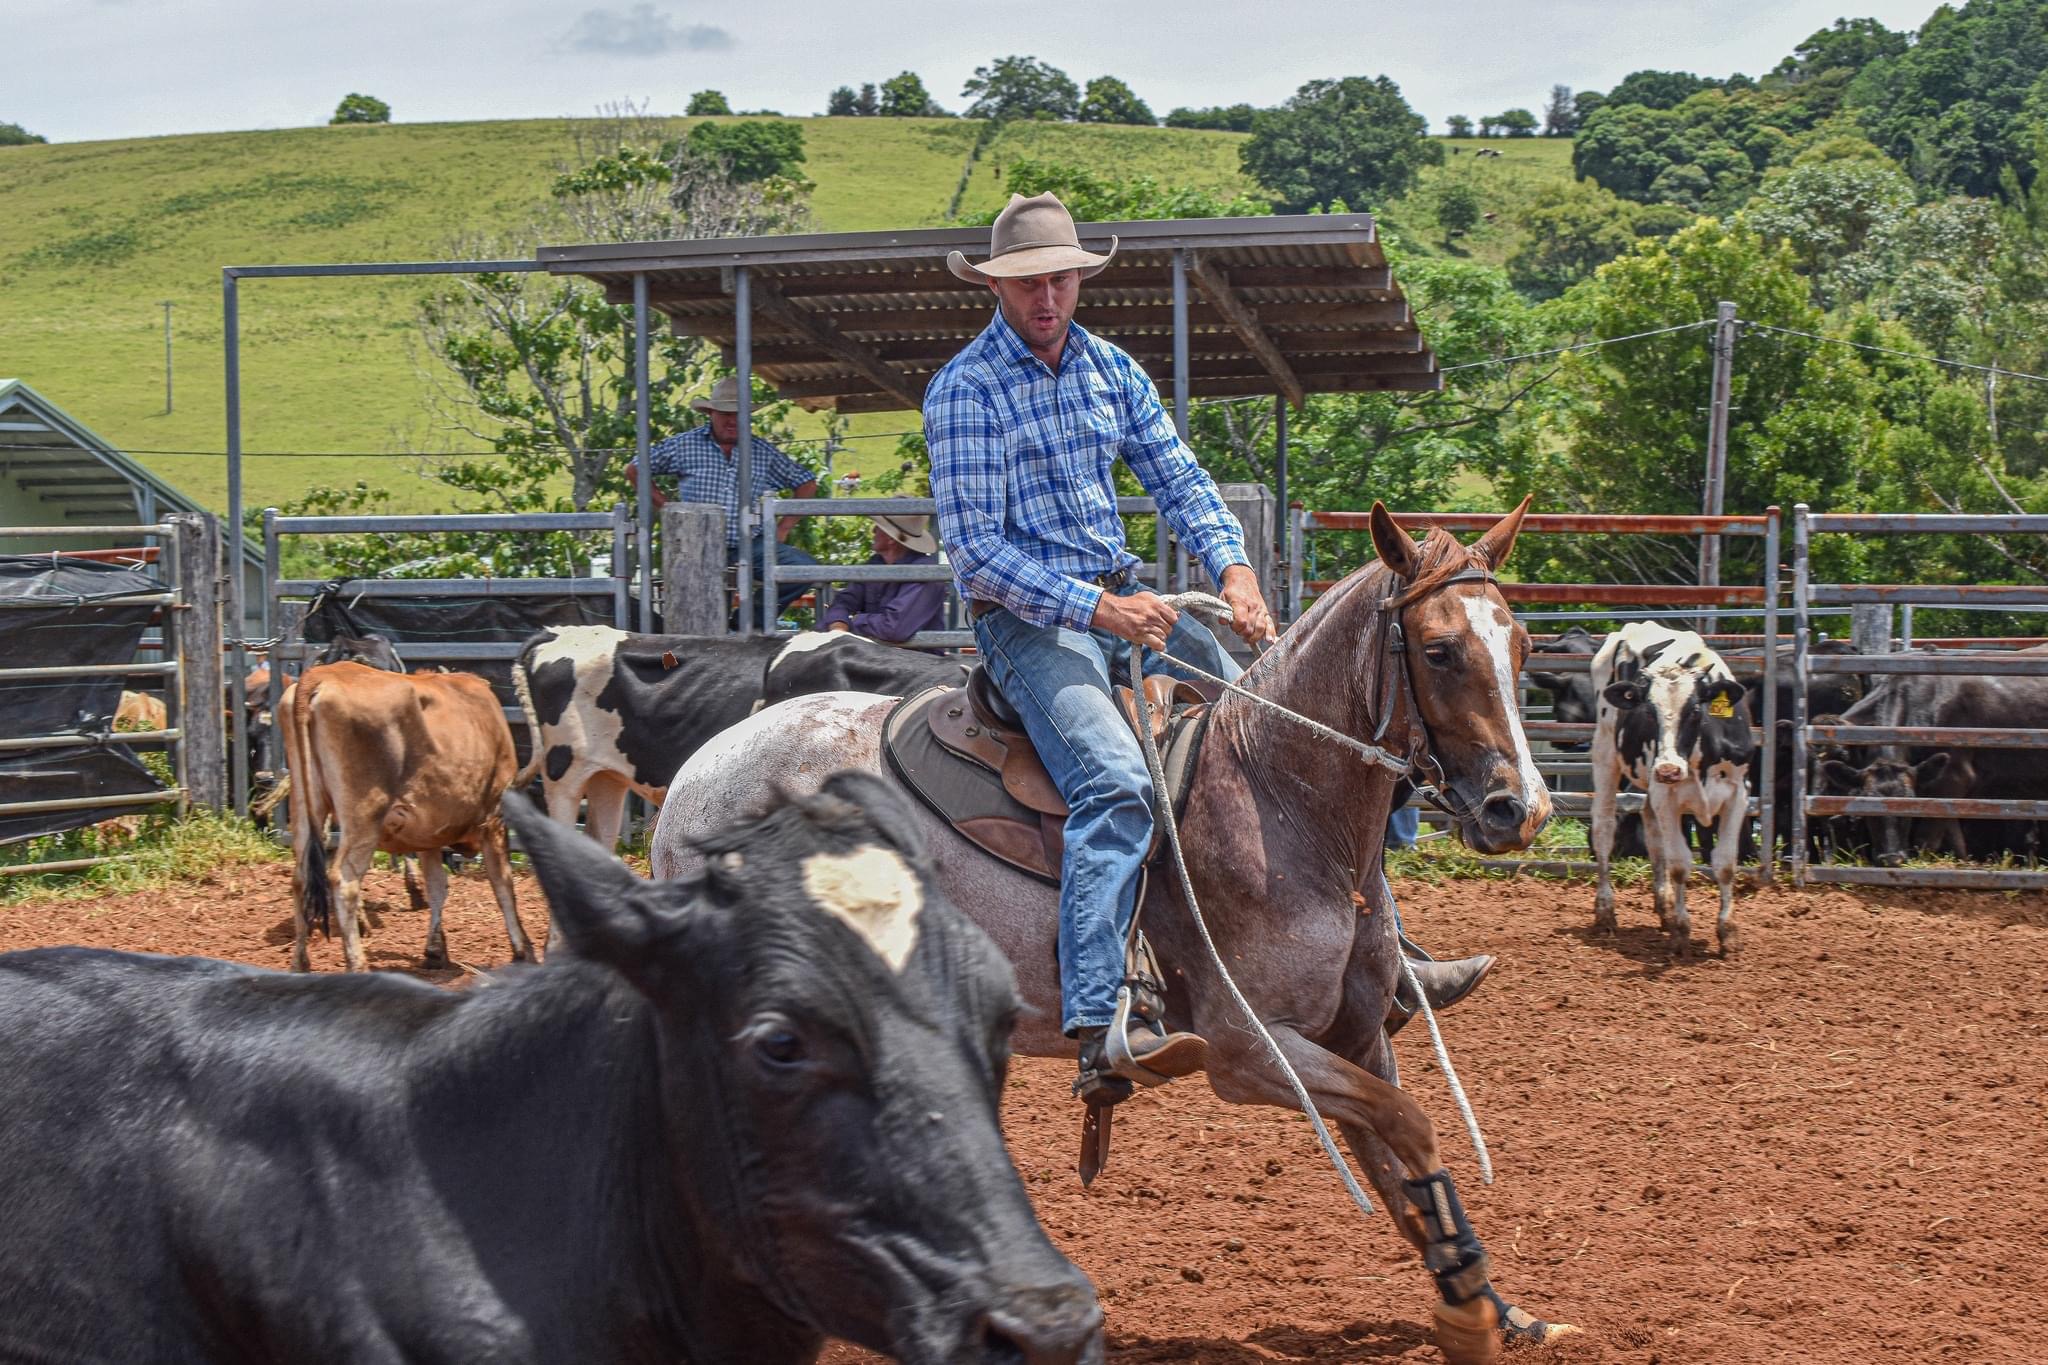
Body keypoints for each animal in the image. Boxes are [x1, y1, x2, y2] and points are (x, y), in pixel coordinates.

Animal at [280, 661, 532, 972]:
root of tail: (321, 675)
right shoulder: (495, 817)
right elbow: (502, 883)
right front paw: (523, 948)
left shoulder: (430, 833)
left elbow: (437, 886)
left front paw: (436, 950)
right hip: (364, 815)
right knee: (343, 881)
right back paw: (357, 965)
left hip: (305, 805)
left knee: (301, 878)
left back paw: (300, 963)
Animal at [652, 500, 1572, 1362]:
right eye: (1440, 650)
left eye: (1524, 644)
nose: (1519, 810)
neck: (1277, 799)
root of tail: (700, 769)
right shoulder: (1251, 1052)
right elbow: (1409, 1126)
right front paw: (1469, 1313)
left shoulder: (1355, 1038)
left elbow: (1400, 1170)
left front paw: (1492, 1305)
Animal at [1591, 623, 1754, 957]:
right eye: (1648, 712)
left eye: (1695, 711)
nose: (1668, 769)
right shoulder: (1667, 797)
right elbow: (1679, 864)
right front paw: (1681, 933)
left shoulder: (1737, 795)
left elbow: (1725, 864)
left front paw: (1728, 933)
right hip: (1605, 753)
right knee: (1603, 828)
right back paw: (1606, 912)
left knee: (1651, 830)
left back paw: (1663, 908)